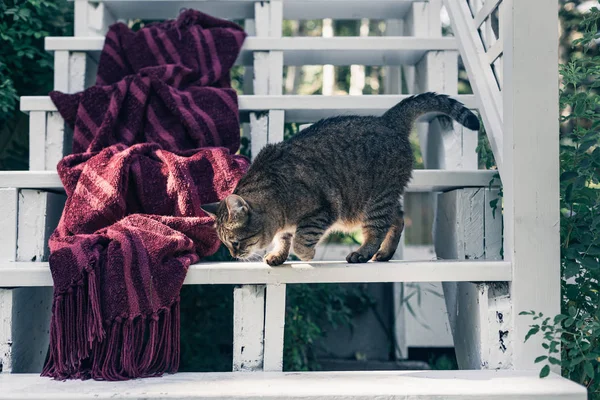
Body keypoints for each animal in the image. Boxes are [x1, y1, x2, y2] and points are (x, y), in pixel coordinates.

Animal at [200, 93, 478, 266]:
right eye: (227, 244)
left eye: (235, 242)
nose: (234, 255)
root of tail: (387, 120)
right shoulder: (286, 225)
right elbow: (283, 240)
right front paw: (277, 255)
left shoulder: (322, 210)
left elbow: (301, 239)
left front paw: (306, 253)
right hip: (382, 199)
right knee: (397, 218)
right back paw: (384, 254)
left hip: (373, 201)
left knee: (377, 229)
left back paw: (363, 253)